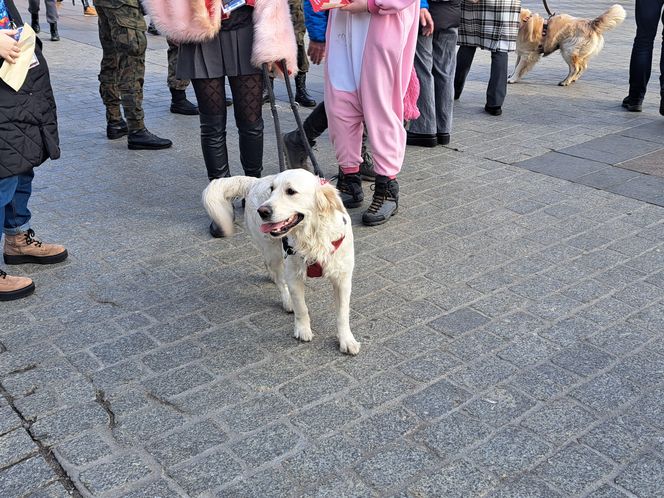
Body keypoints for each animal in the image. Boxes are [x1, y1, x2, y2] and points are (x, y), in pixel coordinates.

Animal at [202, 169, 360, 356]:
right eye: (272, 189)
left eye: (291, 191)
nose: (262, 211)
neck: (312, 237)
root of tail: (255, 181)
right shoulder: (293, 276)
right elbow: (301, 308)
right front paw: (302, 330)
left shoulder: (342, 279)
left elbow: (342, 314)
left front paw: (346, 340)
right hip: (273, 252)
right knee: (278, 278)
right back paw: (286, 299)